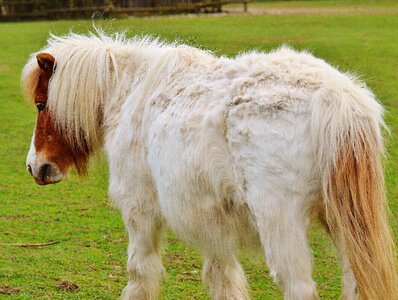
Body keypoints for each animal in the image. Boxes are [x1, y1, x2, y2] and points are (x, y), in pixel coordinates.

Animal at [22, 32, 398, 300]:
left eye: (41, 104)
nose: (34, 167)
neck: (129, 94)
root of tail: (337, 100)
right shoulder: (211, 220)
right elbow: (222, 278)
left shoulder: (140, 210)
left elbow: (140, 272)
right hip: (342, 225)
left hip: (281, 223)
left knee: (299, 287)